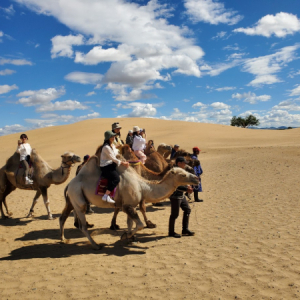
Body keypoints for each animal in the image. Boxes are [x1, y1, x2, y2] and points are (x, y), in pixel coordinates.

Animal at [59, 154, 199, 250]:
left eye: (186, 171)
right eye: (183, 174)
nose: (197, 178)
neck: (142, 186)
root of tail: (69, 184)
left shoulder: (130, 204)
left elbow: (130, 223)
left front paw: (130, 239)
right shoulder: (127, 206)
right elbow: (140, 225)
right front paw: (125, 236)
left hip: (72, 199)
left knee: (63, 217)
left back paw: (63, 239)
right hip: (78, 198)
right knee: (82, 224)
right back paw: (95, 245)